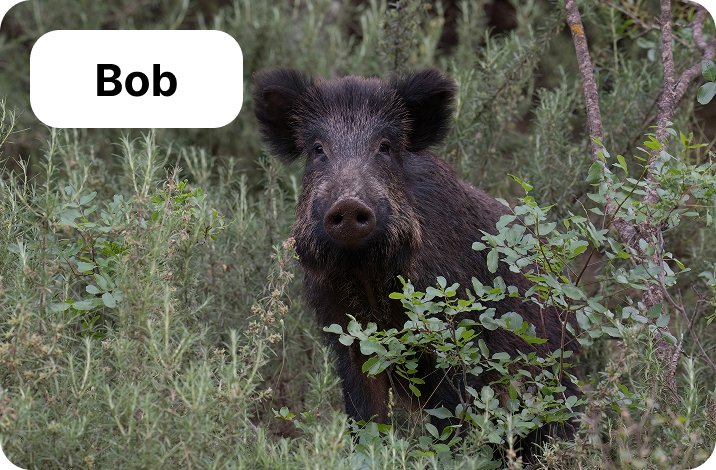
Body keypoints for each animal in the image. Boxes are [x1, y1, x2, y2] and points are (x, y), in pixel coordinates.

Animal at [253, 68, 578, 458]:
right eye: (318, 149)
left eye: (385, 147)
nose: (348, 204)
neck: (367, 276)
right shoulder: (345, 333)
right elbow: (366, 413)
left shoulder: (454, 330)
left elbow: (455, 414)